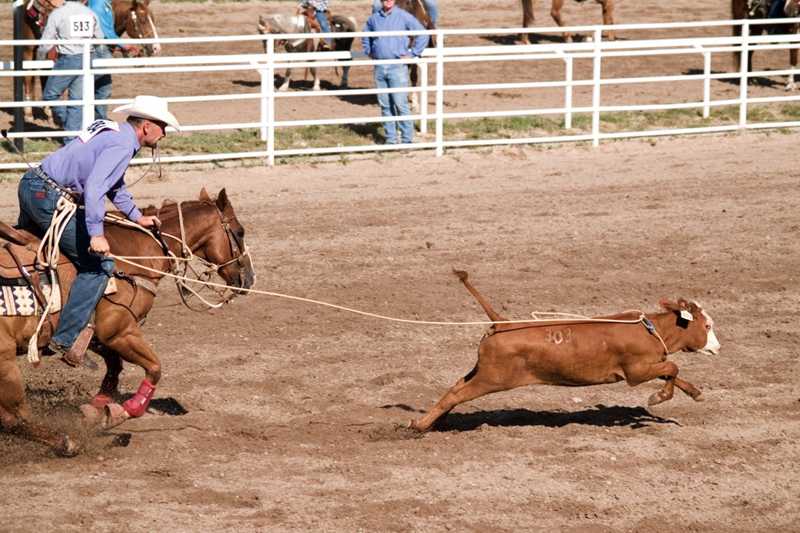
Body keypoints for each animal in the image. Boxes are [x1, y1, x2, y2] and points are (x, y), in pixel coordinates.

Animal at [0, 187, 255, 454]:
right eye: (239, 232)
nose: (249, 278)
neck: (132, 254)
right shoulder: (120, 331)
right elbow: (154, 368)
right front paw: (125, 411)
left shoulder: (99, 337)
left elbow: (114, 370)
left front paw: (97, 411)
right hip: (6, 362)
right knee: (15, 417)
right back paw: (67, 442)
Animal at [410, 270, 720, 432]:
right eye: (707, 325)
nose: (718, 347)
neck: (651, 329)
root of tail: (503, 322)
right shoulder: (636, 371)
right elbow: (673, 368)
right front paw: (657, 397)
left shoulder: (650, 364)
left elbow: (673, 372)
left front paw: (695, 392)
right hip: (492, 378)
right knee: (456, 393)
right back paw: (419, 426)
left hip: (482, 371)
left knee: (455, 388)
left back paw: (434, 420)